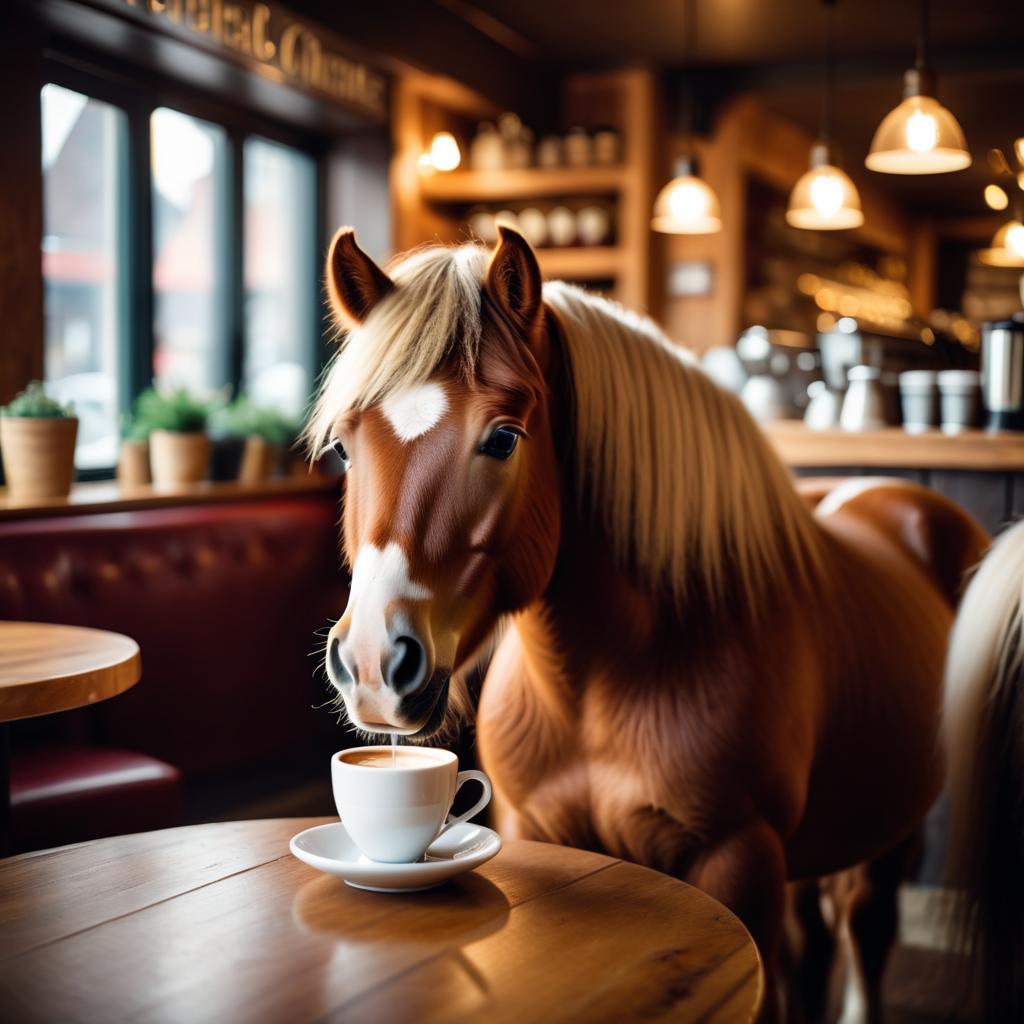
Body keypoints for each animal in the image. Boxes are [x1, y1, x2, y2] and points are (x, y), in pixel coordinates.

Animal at [313, 224, 991, 1015]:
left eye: (504, 437)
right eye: (343, 447)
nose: (372, 664)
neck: (596, 690)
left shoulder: (740, 860)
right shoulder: (541, 833)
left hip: (893, 830)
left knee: (864, 929)